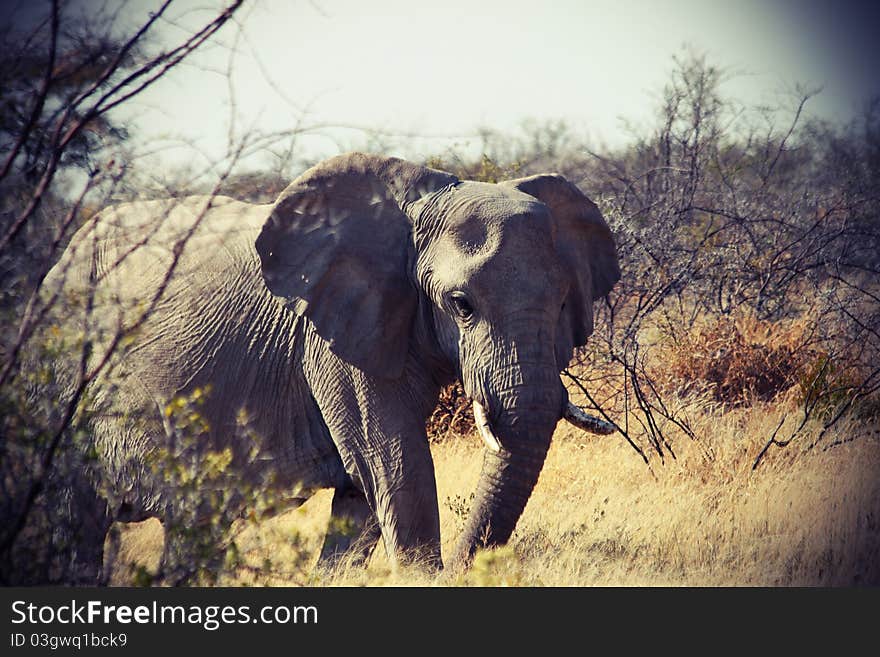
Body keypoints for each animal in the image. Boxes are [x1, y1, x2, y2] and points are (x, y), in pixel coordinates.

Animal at [27, 151, 620, 580]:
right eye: (461, 305)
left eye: (564, 303)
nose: (459, 568)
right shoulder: (330, 337)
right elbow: (393, 462)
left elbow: (365, 496)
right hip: (57, 371)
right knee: (72, 524)